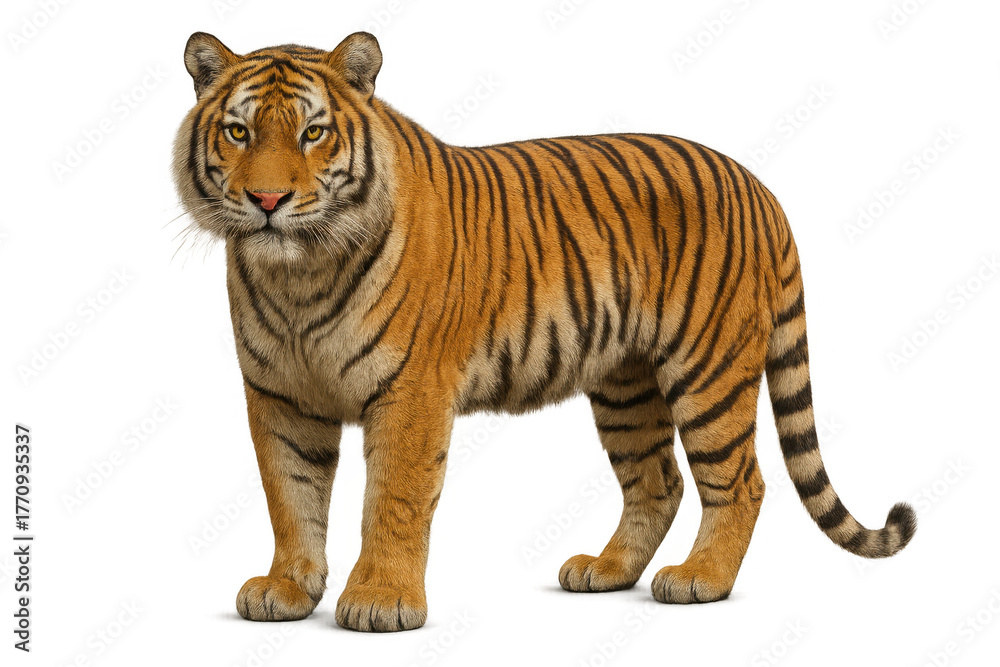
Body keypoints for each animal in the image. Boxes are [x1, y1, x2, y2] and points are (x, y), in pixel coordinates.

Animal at [172, 31, 916, 632]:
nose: (268, 201)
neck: (297, 275)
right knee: (659, 481)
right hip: (625, 383)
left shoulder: (411, 393)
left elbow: (393, 498)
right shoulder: (280, 395)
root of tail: (759, 185)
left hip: (708, 370)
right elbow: (290, 494)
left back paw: (699, 579)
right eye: (238, 133)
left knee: (740, 481)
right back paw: (606, 570)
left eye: (312, 133)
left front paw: (381, 600)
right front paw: (286, 590)